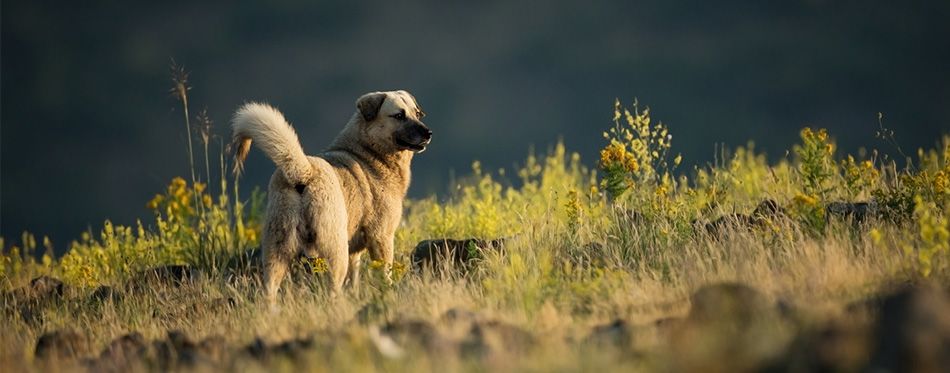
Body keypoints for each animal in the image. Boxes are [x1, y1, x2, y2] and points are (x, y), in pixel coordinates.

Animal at [232, 90, 434, 300]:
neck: (369, 154)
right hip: (335, 252)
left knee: (269, 291)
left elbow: (354, 279)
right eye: (399, 115)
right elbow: (385, 274)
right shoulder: (381, 237)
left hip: (276, 252)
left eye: (417, 114)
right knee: (332, 290)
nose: (428, 133)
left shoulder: (355, 253)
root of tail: (304, 172)